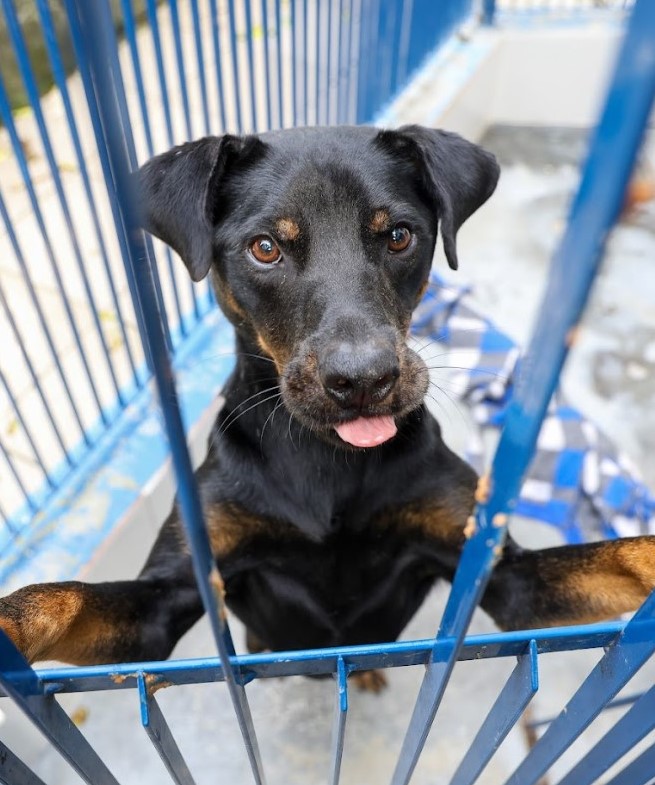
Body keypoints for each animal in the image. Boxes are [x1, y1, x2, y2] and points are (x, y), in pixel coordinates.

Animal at [1, 125, 654, 674]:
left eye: (399, 235)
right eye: (265, 247)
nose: (363, 381)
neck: (327, 457)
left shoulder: (501, 576)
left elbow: (618, 555)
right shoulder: (170, 594)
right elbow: (61, 597)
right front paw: (13, 620)